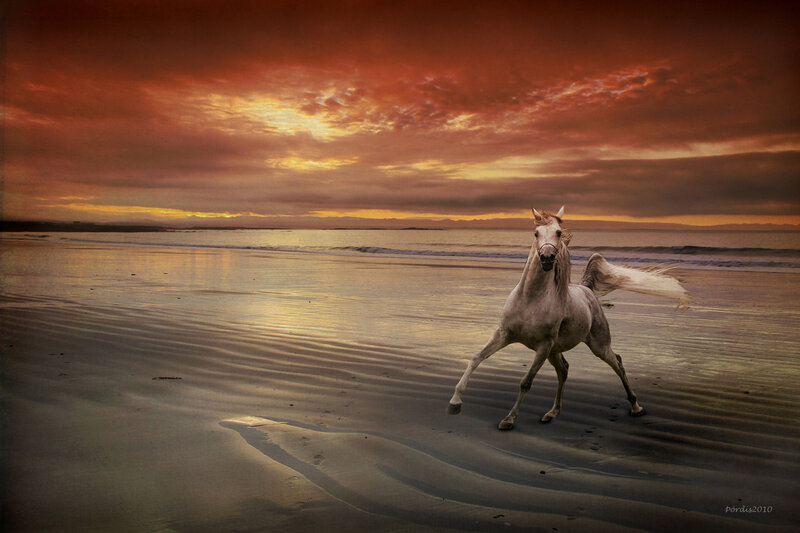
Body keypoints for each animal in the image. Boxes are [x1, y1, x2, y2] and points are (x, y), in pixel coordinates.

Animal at [446, 206, 688, 430]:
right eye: (536, 233)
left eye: (559, 232)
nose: (547, 258)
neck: (531, 299)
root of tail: (587, 290)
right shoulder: (504, 334)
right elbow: (476, 358)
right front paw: (455, 402)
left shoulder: (543, 345)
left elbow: (526, 382)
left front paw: (509, 419)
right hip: (555, 351)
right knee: (564, 370)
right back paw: (552, 412)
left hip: (596, 345)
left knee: (617, 362)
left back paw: (636, 407)